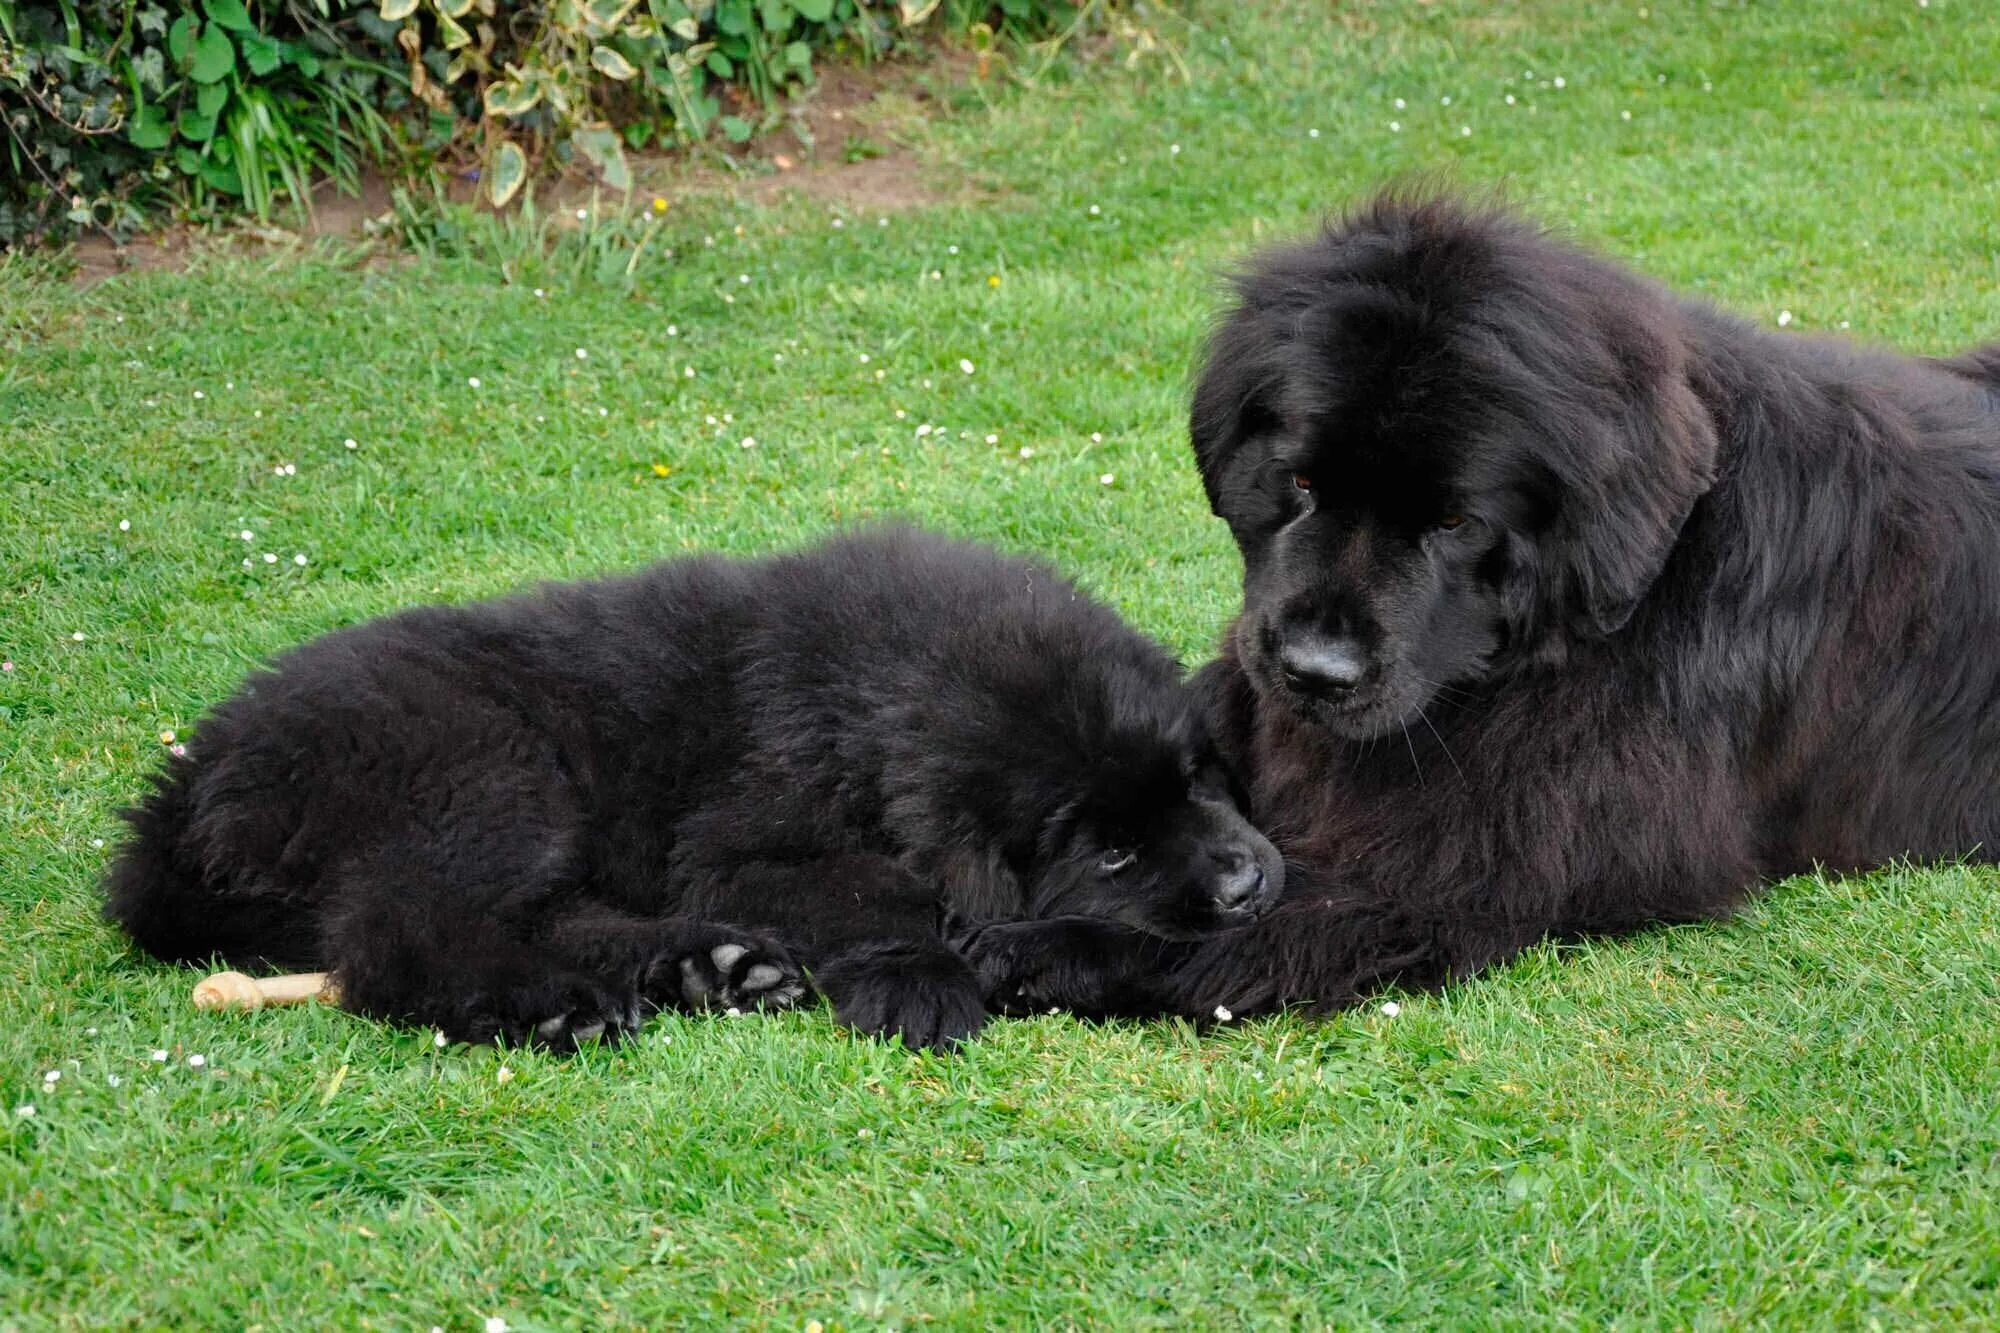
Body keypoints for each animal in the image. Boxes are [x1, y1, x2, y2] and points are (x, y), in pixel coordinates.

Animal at [105, 528, 1280, 1048]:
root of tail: (199, 772)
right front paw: (919, 980)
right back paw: (556, 1005)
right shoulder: (738, 843)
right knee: (400, 934)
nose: (1245, 889)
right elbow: (877, 885)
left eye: (1194, 779)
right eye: (1110, 851)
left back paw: (709, 967)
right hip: (484, 774)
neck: (884, 684)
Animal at [968, 189, 2000, 1016]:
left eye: (1457, 521)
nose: (1314, 671)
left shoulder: (1489, 860)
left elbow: (1272, 913)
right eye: (1299, 481)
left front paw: (1044, 947)